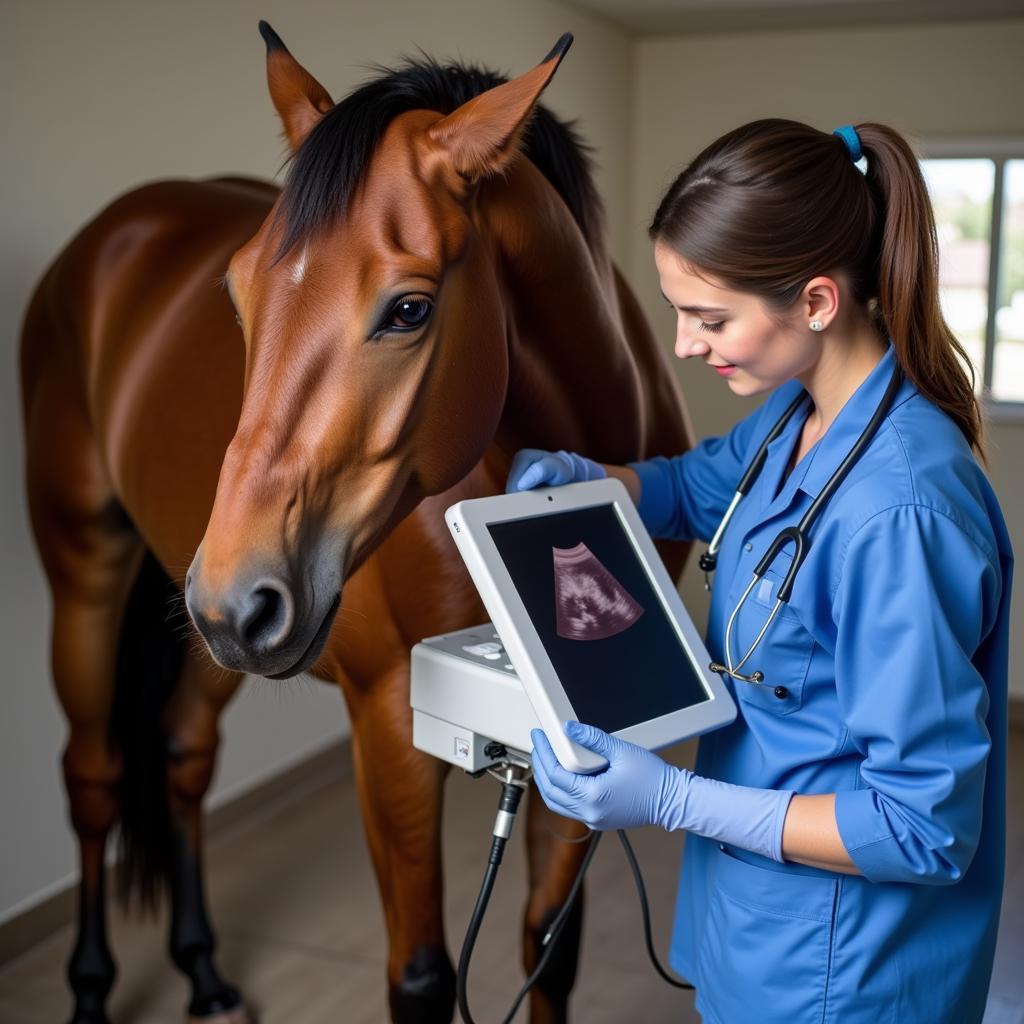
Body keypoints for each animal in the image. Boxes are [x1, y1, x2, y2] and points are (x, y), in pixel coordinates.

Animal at [19, 24, 692, 1024]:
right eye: (235, 296)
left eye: (409, 308)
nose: (236, 598)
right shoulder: (386, 726)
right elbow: (421, 977)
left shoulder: (580, 750)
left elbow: (547, 948)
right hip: (96, 575)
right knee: (94, 778)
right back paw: (94, 989)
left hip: (210, 635)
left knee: (182, 753)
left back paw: (205, 971)